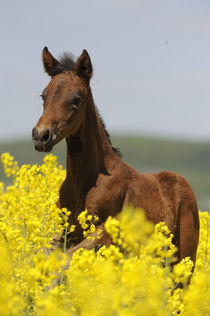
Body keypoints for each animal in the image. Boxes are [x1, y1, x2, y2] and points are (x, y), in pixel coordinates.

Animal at [32, 47, 199, 270]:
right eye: (44, 96)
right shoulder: (66, 232)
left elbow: (66, 259)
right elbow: (45, 255)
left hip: (184, 261)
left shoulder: (106, 231)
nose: (41, 135)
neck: (83, 182)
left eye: (77, 99)